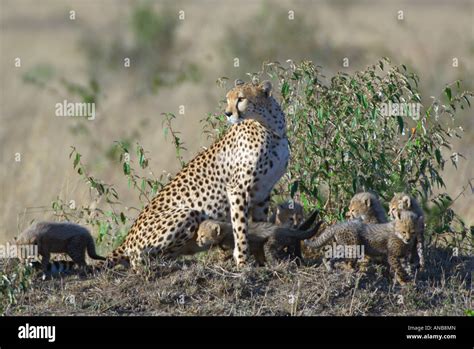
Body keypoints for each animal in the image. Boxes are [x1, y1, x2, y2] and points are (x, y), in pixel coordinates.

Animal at [106, 79, 288, 270]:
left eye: (241, 99)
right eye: (227, 99)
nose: (227, 113)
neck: (271, 128)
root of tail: (127, 237)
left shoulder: (263, 192)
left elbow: (259, 230)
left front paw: (261, 263)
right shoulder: (237, 189)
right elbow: (240, 228)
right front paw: (242, 262)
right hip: (187, 214)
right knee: (139, 261)